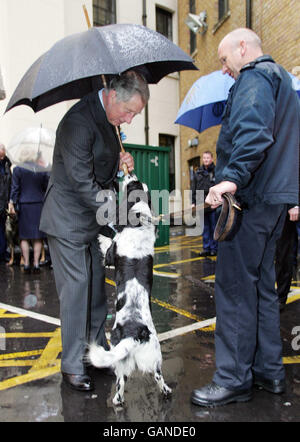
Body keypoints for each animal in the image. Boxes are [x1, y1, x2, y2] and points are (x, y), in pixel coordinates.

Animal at [86, 172, 171, 404]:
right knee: (157, 377)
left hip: (120, 357)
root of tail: (135, 335)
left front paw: (101, 234)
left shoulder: (110, 254)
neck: (140, 220)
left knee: (120, 384)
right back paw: (166, 391)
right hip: (152, 356)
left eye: (133, 184)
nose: (130, 172)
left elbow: (107, 243)